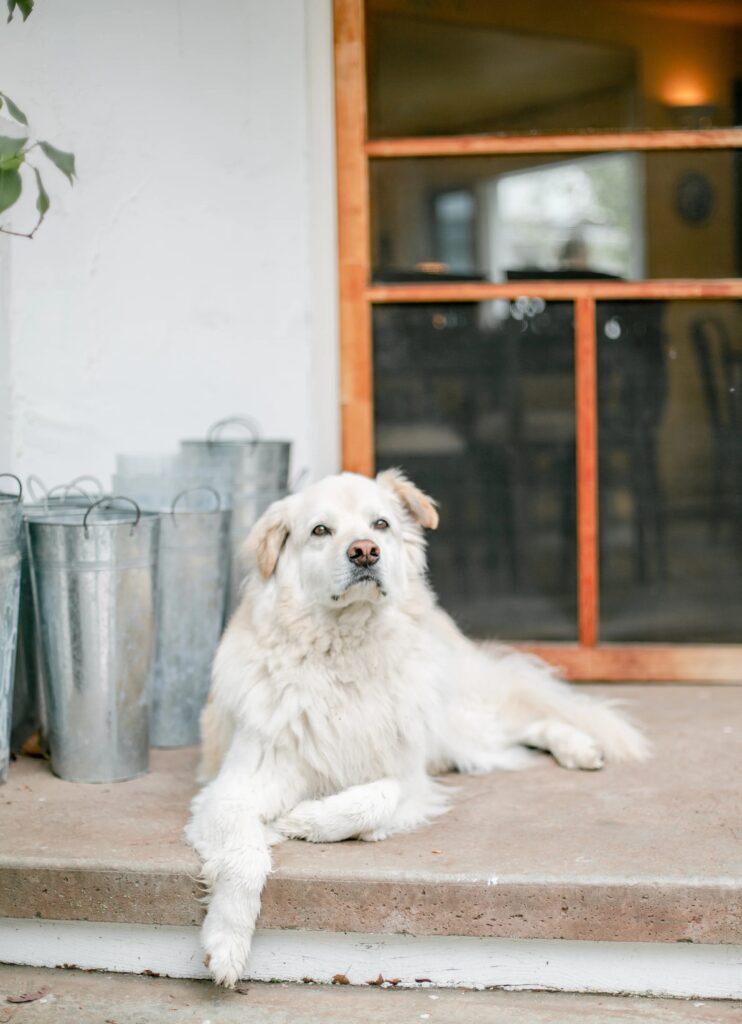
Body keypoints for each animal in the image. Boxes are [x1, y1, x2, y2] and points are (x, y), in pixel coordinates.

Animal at [186, 469, 648, 987]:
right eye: (320, 530)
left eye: (380, 524)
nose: (365, 551)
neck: (347, 652)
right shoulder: (233, 791)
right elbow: (244, 856)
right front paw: (227, 942)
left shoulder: (408, 774)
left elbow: (378, 795)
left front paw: (306, 821)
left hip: (457, 723)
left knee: (527, 720)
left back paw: (579, 746)